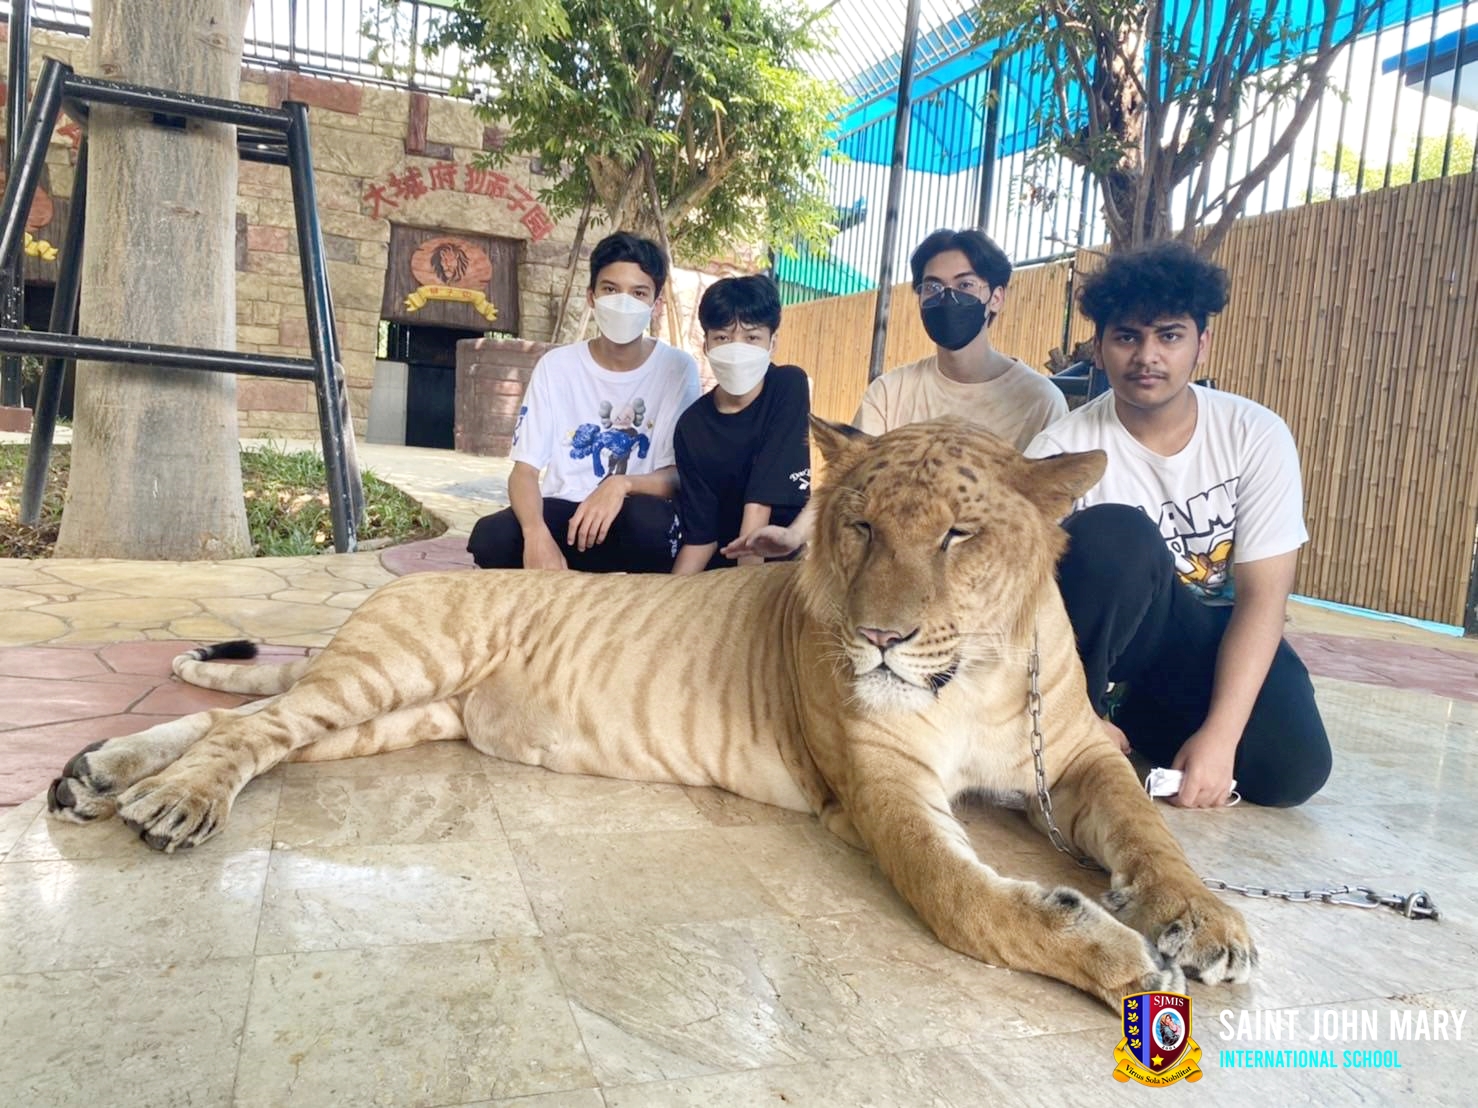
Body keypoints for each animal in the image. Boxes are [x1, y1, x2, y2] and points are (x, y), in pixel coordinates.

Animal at [45, 417, 1254, 1009]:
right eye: (859, 525)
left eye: (958, 534)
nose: (880, 639)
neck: (976, 671)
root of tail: (387, 592)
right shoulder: (875, 789)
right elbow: (965, 899)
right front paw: (1112, 957)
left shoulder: (1082, 757)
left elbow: (1151, 834)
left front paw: (1207, 925)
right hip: (392, 665)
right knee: (251, 729)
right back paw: (165, 802)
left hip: (406, 711)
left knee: (253, 719)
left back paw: (101, 773)